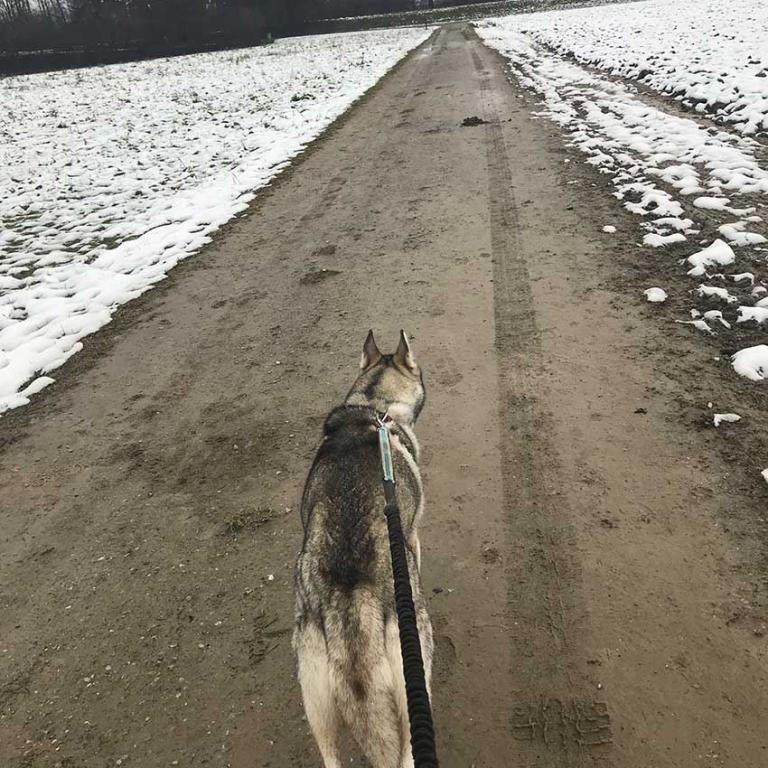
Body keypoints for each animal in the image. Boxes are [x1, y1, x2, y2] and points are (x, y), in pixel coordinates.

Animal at [293, 330, 433, 768]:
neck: (376, 406)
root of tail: (353, 599)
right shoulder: (413, 535)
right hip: (415, 676)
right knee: (407, 754)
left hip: (315, 700)